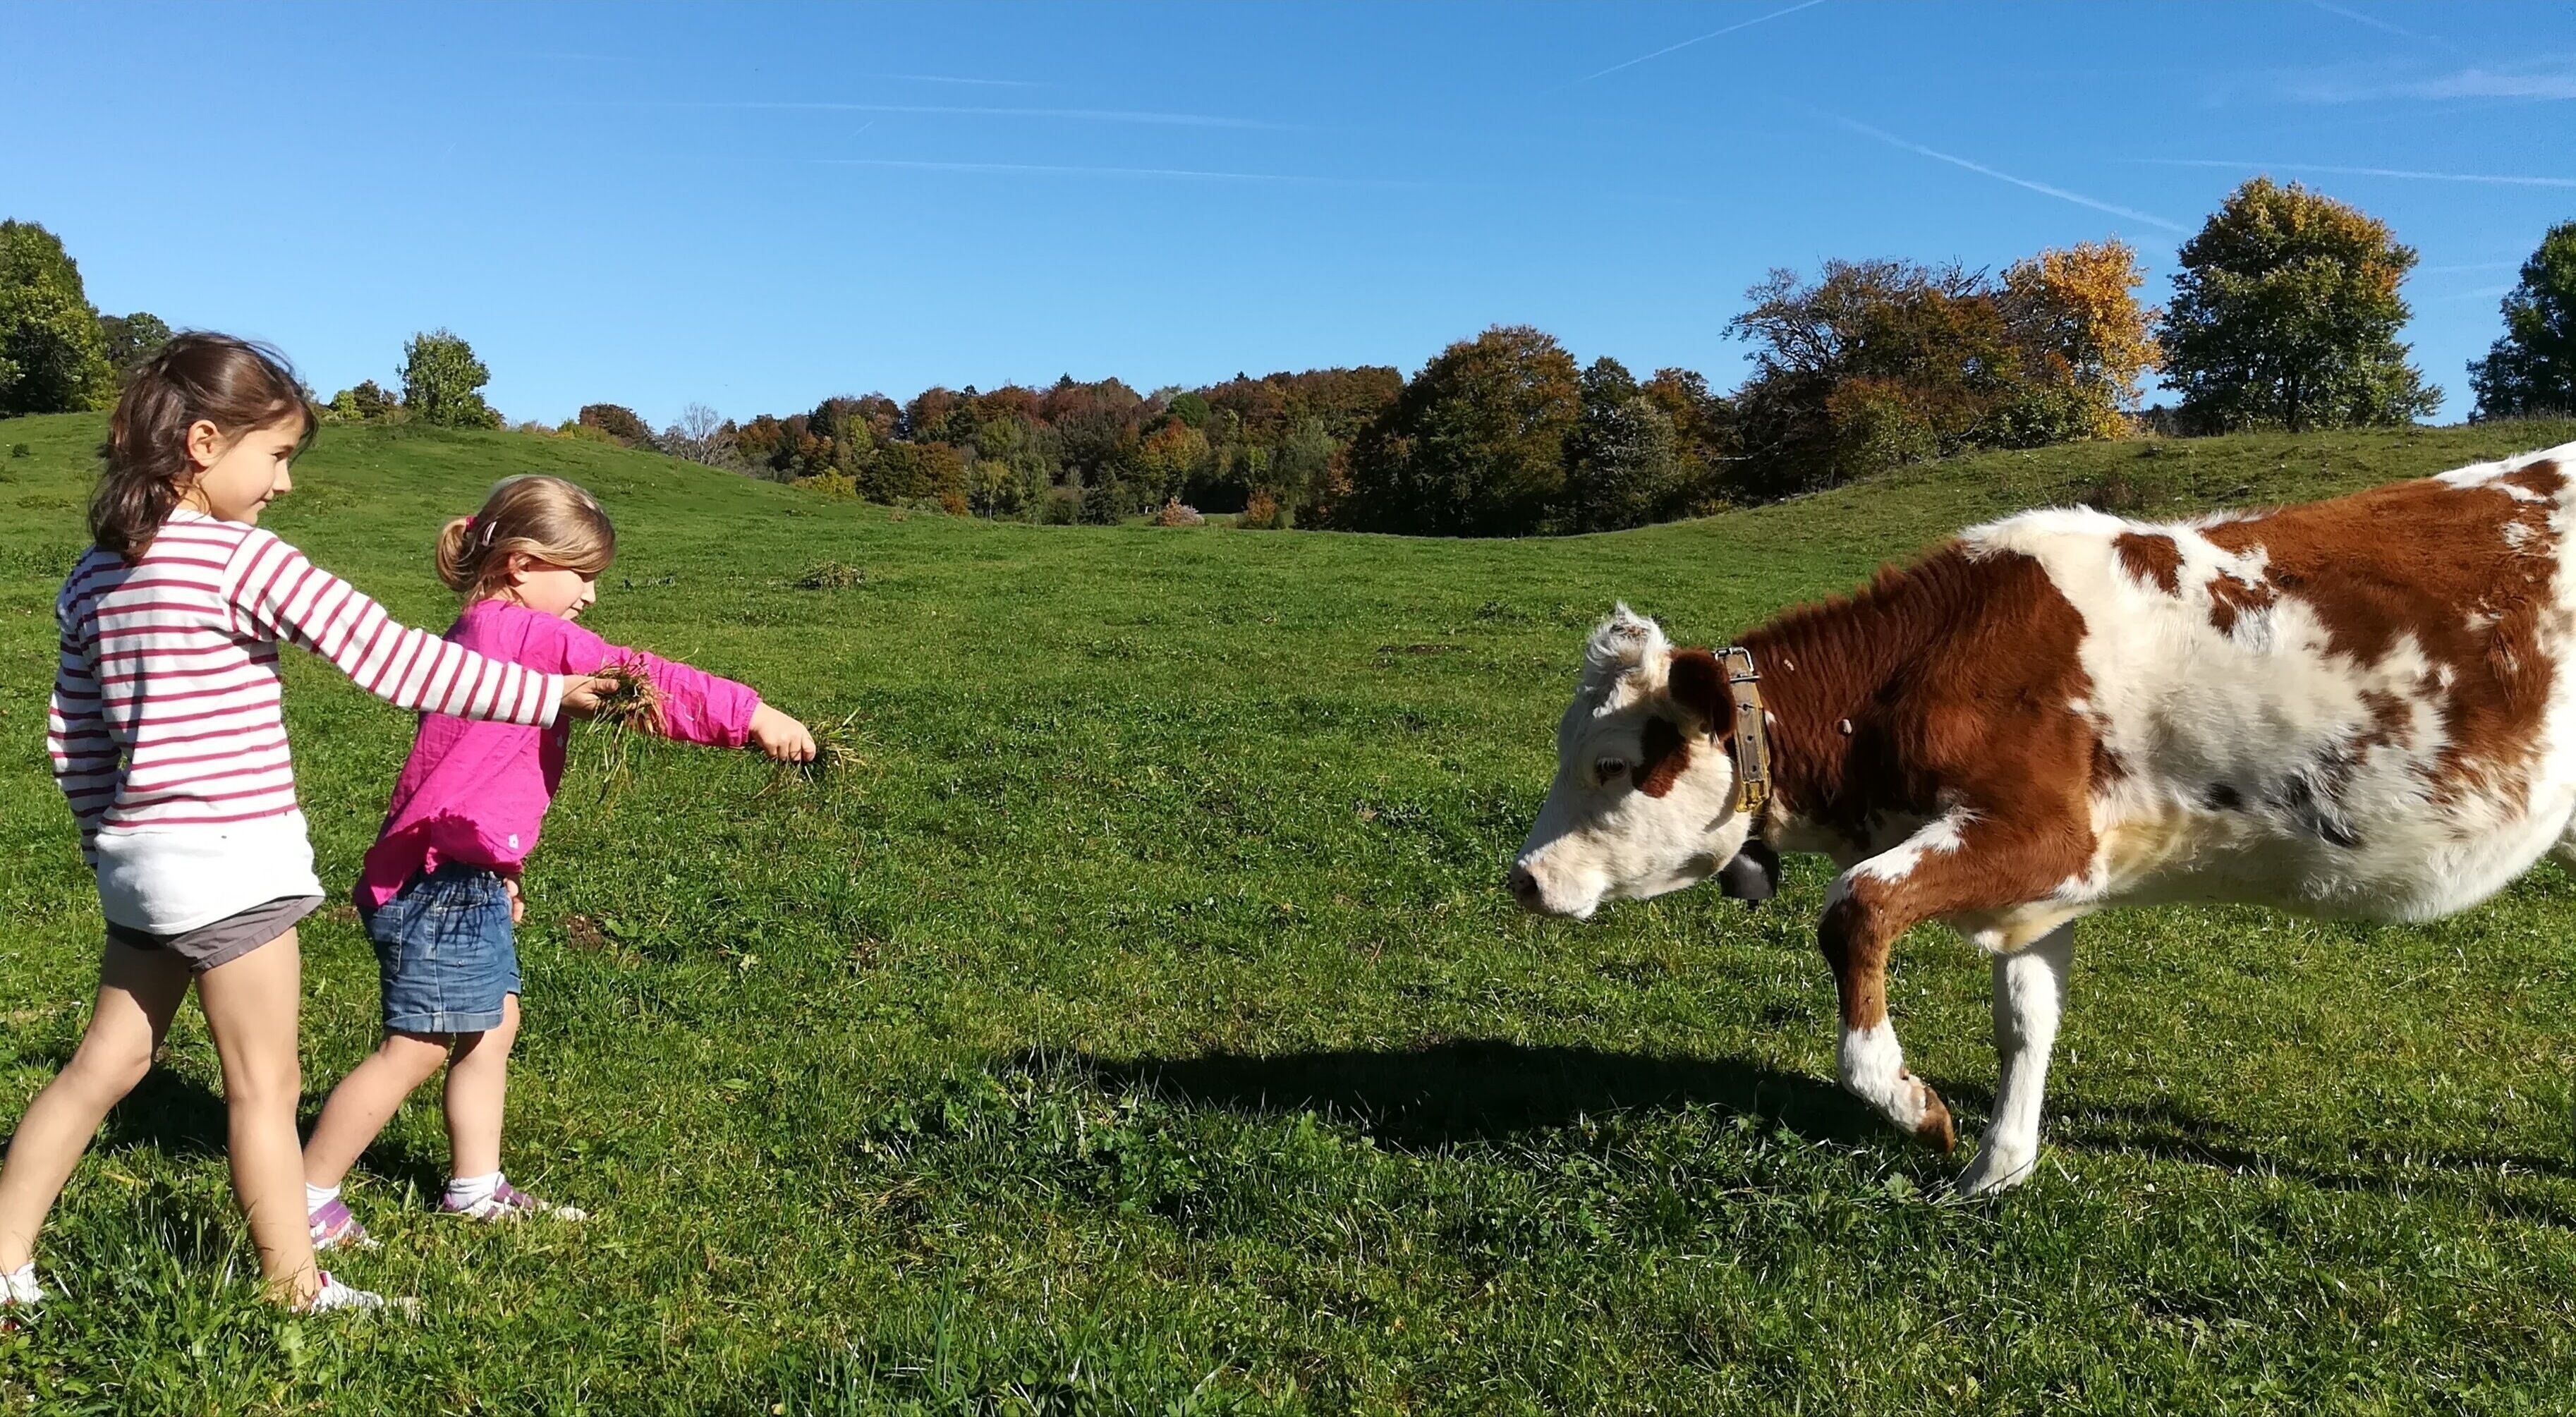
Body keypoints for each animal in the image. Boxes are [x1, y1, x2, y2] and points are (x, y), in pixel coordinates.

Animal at [1508, 441, 2576, 1196]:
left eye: (1613, 764)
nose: (1524, 876)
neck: (1929, 661)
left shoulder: (2050, 832)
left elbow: (1854, 909)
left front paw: (1911, 1104)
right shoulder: (2040, 882)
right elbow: (2026, 1020)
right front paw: (1996, 1170)